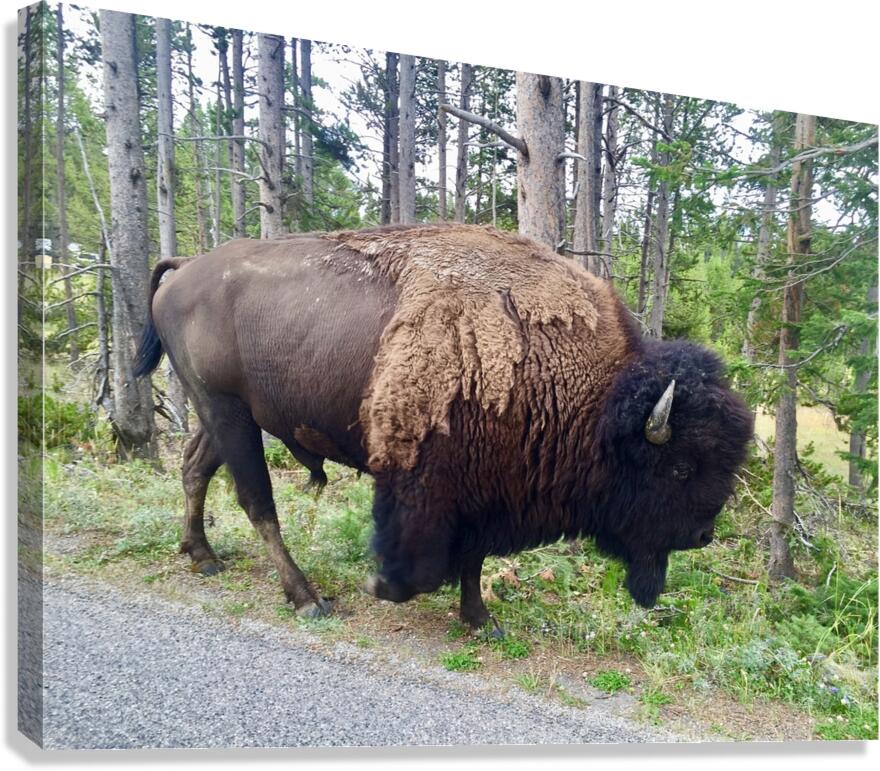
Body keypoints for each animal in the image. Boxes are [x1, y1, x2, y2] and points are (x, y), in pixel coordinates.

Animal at [134, 224, 753, 632]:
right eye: (680, 467)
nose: (703, 535)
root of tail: (185, 266)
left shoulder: (485, 488)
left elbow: (473, 558)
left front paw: (480, 619)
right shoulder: (427, 483)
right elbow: (427, 563)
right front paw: (381, 586)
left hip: (223, 414)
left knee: (195, 468)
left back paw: (202, 555)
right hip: (228, 412)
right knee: (256, 500)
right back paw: (306, 597)